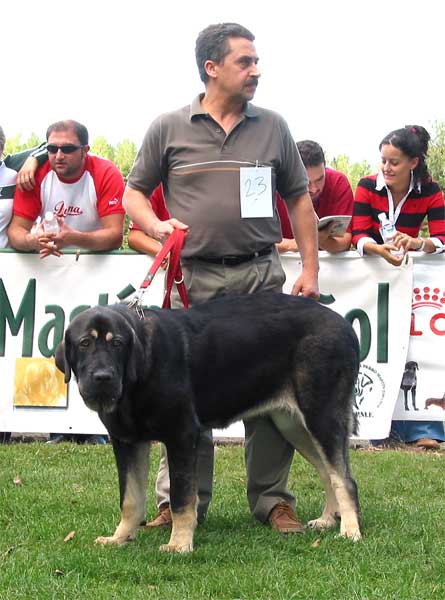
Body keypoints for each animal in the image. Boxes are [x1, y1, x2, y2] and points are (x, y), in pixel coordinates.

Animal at [54, 292, 360, 552]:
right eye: (84, 343)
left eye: (117, 343)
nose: (102, 377)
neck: (138, 375)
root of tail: (345, 325)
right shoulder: (126, 442)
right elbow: (130, 498)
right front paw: (120, 538)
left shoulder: (181, 434)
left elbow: (181, 498)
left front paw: (179, 544)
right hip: (292, 424)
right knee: (328, 472)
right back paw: (328, 520)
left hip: (322, 415)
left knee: (344, 478)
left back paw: (350, 530)